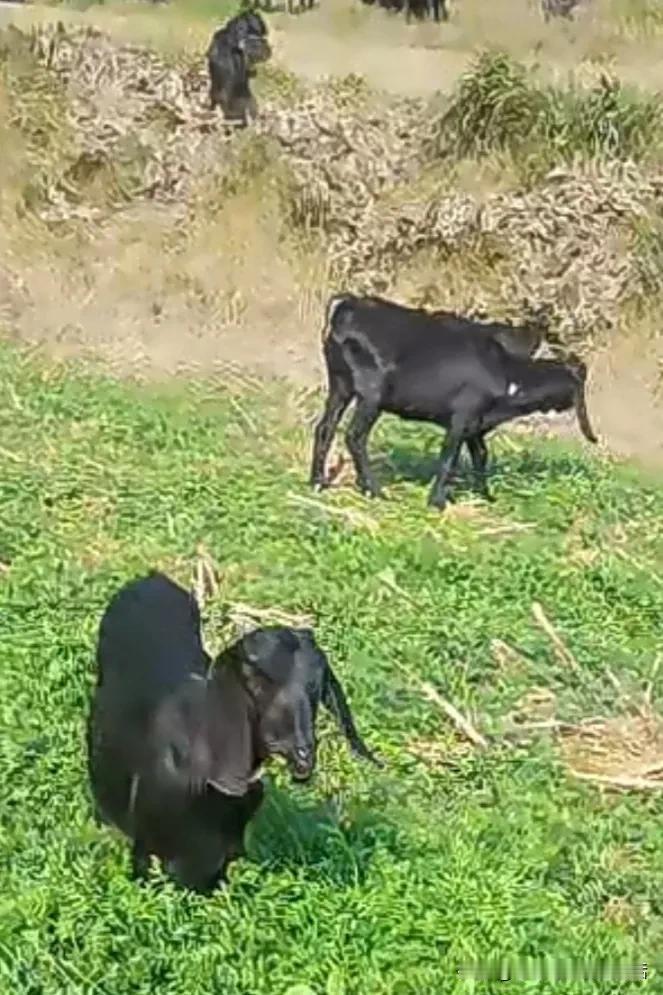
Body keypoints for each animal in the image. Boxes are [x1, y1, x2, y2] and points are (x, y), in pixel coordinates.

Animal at [88, 568, 378, 896]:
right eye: (255, 680)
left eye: (316, 686)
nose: (302, 753)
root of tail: (151, 578)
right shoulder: (147, 849)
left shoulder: (220, 859)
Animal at [308, 292, 600, 510]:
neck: (507, 374)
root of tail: (347, 307)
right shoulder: (461, 418)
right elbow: (449, 457)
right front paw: (437, 502)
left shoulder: (475, 425)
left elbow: (481, 455)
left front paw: (485, 495)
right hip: (371, 394)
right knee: (355, 436)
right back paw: (373, 489)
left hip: (340, 385)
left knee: (324, 428)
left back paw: (317, 482)